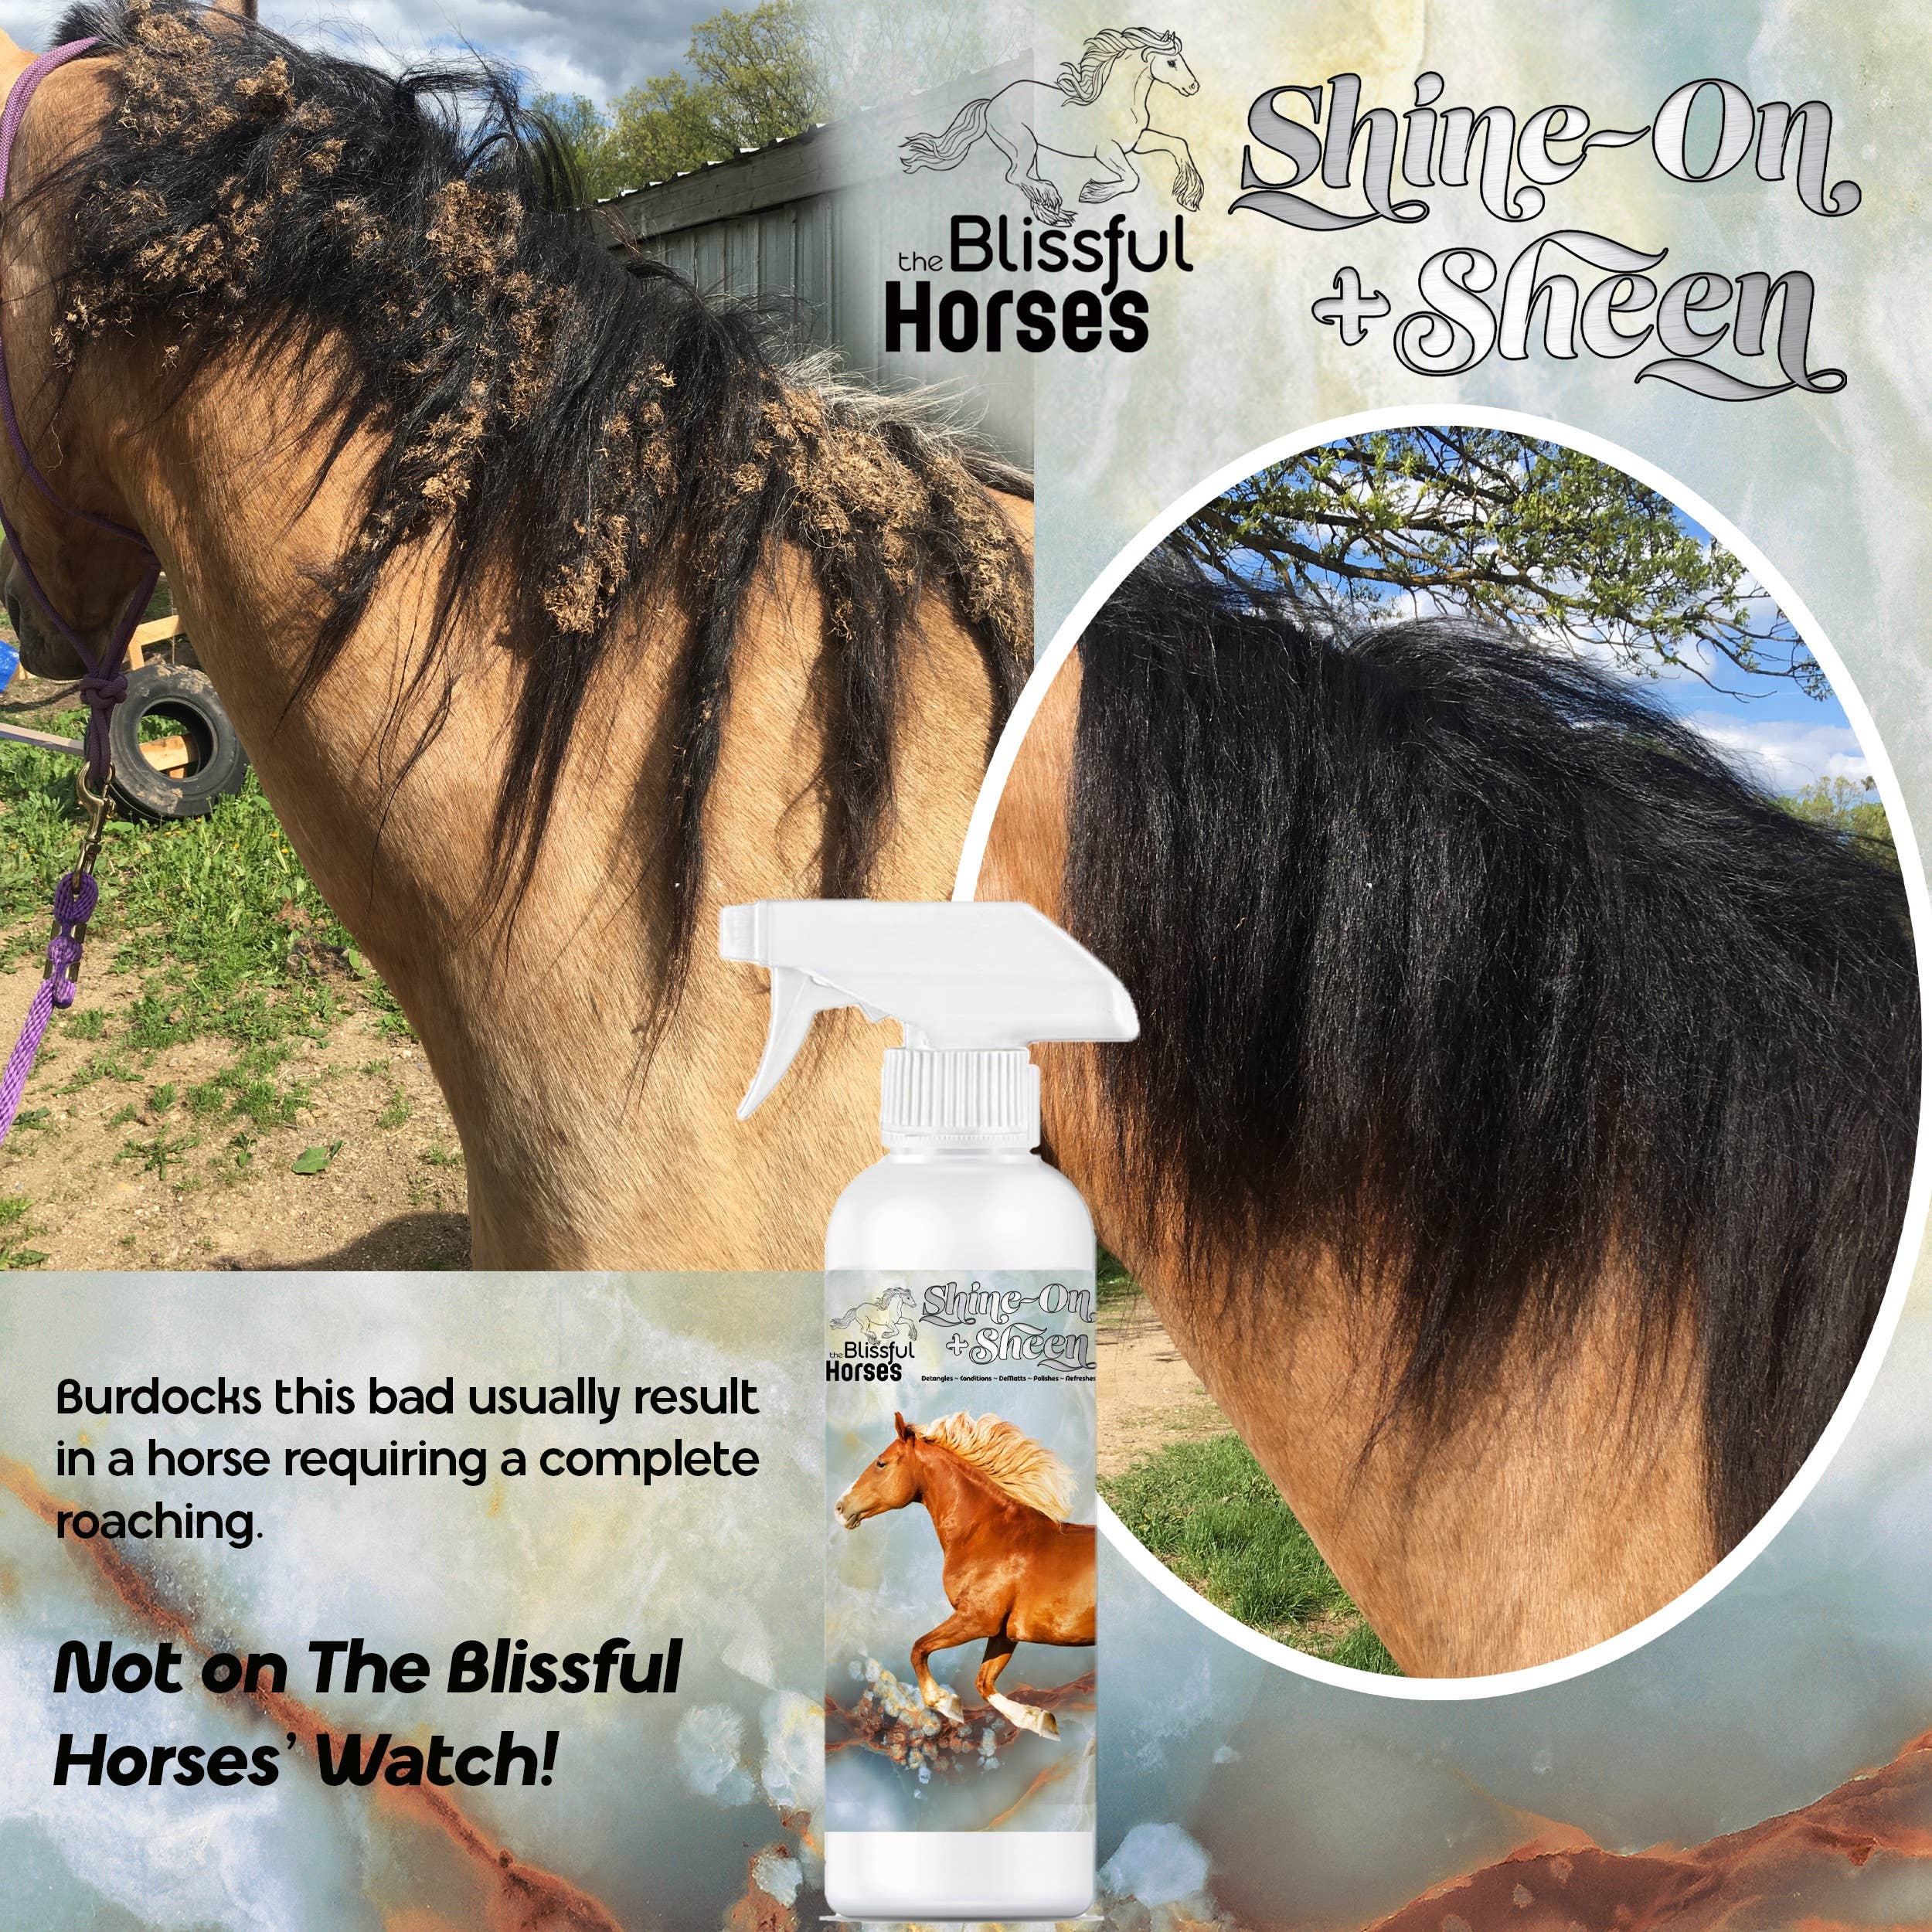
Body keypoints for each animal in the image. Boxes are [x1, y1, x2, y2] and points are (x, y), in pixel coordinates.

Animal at [835, 1410, 1095, 1737]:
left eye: (881, 1463)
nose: (840, 1508)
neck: (988, 1536)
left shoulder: (977, 1619)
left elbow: (919, 1648)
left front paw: (945, 1702)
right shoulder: (1003, 1633)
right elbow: (984, 1682)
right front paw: (1040, 1720)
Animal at [899, 28, 1202, 229]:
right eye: (1171, 62)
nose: (1193, 86)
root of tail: (990, 103)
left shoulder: (1136, 143)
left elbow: (1179, 144)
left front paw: (1190, 198)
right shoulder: (1107, 152)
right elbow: (1132, 179)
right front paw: (1090, 192)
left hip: (1027, 150)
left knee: (1024, 177)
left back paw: (1056, 215)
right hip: (1022, 145)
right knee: (1015, 177)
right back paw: (1051, 197)